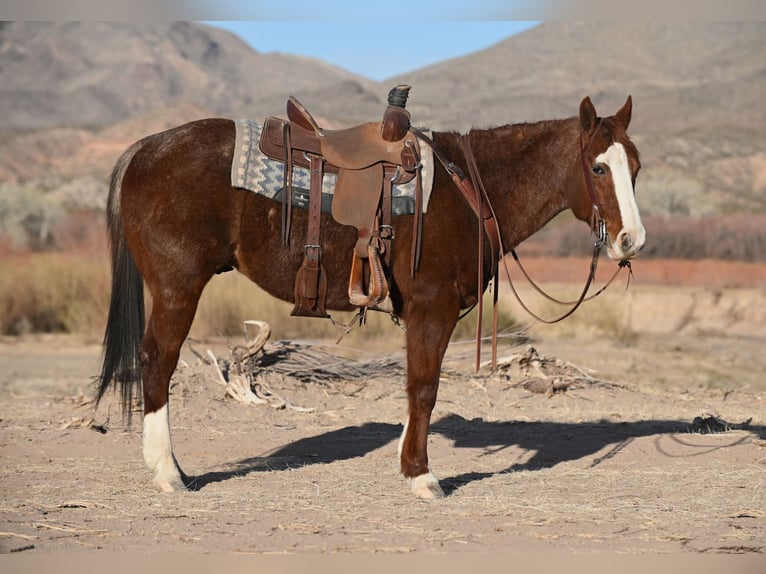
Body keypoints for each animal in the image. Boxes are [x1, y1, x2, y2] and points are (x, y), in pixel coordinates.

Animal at [96, 94, 648, 500]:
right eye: (599, 168)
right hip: (178, 287)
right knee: (157, 362)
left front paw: (407, 462)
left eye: (636, 167)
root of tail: (143, 149)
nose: (632, 240)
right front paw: (423, 476)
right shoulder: (433, 308)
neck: (468, 190)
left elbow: (413, 387)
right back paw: (169, 473)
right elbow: (424, 388)